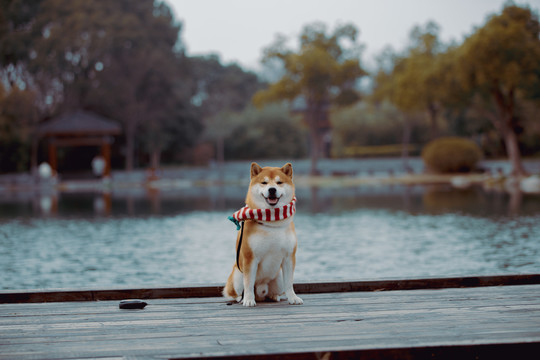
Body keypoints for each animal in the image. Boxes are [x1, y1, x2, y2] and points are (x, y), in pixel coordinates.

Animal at [221, 163, 302, 306]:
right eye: (264, 182)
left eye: (279, 182)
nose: (272, 190)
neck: (272, 223)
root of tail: (260, 291)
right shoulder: (250, 258)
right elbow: (248, 283)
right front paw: (248, 299)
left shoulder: (289, 257)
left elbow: (289, 283)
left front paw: (293, 298)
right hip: (237, 275)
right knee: (235, 292)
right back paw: (241, 298)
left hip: (278, 279)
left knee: (273, 292)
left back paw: (274, 296)